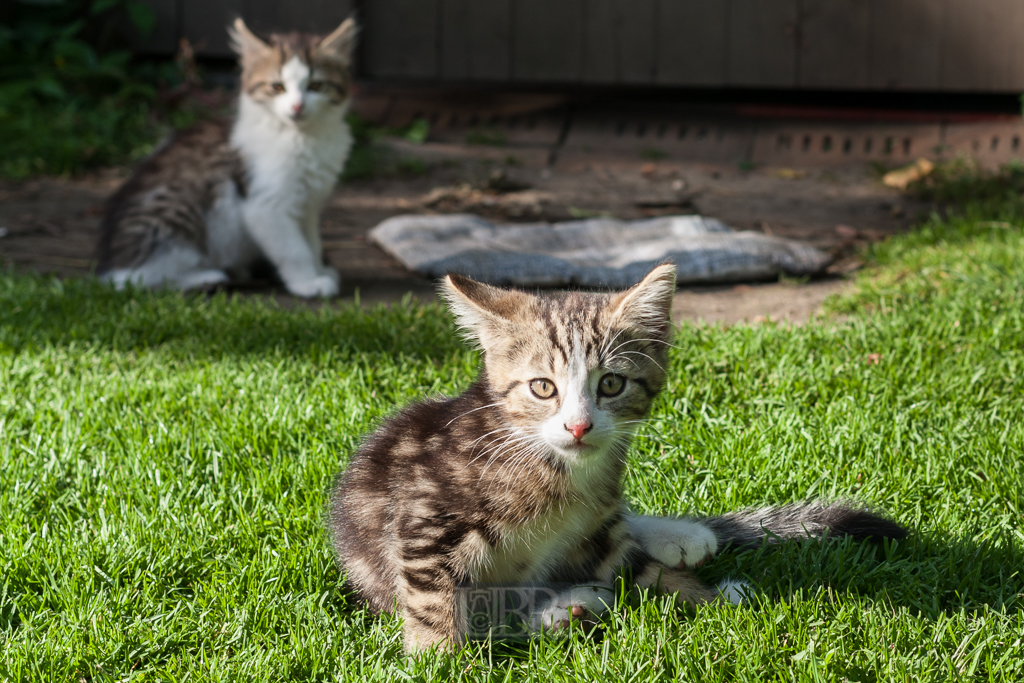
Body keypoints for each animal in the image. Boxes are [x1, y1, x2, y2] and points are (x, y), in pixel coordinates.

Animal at [98, 16, 356, 296]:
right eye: (277, 87)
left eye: (316, 86)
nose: (298, 106)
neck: (304, 138)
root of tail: (108, 263)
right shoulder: (267, 205)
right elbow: (294, 250)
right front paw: (308, 282)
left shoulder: (308, 204)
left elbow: (312, 242)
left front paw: (320, 270)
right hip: (176, 220)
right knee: (140, 280)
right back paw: (206, 277)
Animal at [327, 266, 905, 651]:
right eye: (543, 387)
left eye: (611, 384)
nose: (579, 426)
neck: (558, 474)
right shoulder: (424, 514)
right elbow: (432, 599)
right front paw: (441, 659)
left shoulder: (600, 532)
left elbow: (645, 570)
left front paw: (712, 598)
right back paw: (569, 606)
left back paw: (678, 539)